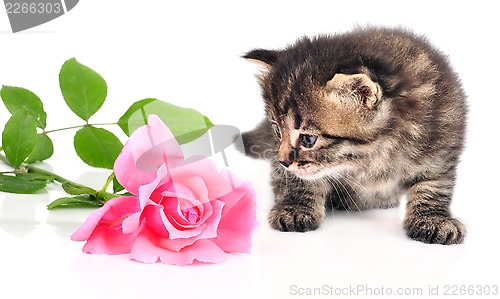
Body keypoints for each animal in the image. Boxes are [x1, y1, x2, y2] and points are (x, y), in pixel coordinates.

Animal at [240, 27, 466, 245]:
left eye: (308, 139)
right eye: (277, 131)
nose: (283, 161)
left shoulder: (442, 145)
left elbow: (435, 184)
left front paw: (434, 220)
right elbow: (301, 180)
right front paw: (295, 208)